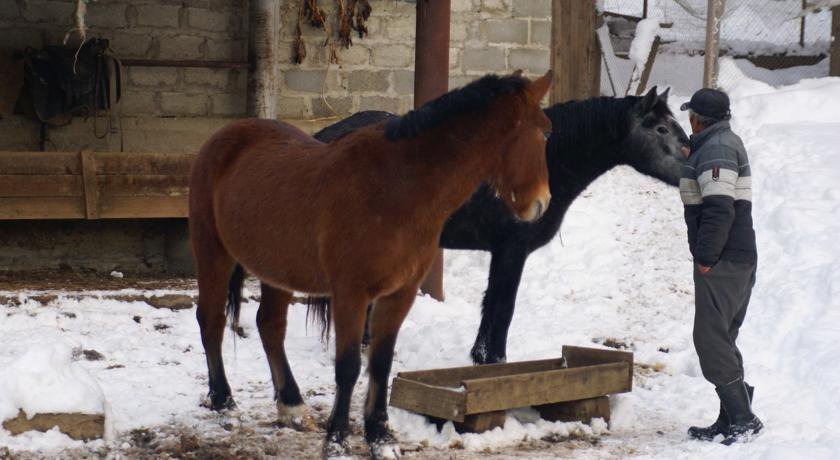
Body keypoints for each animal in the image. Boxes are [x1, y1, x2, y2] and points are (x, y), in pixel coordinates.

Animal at [189, 72, 556, 456]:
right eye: (545, 132)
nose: (542, 203)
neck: (396, 188)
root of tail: (223, 137)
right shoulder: (351, 292)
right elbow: (348, 365)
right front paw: (336, 439)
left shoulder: (401, 293)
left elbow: (380, 362)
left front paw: (380, 436)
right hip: (212, 251)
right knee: (212, 320)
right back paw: (223, 400)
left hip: (278, 269)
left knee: (270, 326)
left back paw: (291, 405)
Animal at [306, 88, 684, 364]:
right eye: (661, 129)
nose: (690, 169)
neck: (544, 162)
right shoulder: (512, 250)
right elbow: (503, 306)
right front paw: (494, 359)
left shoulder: (502, 252)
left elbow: (492, 304)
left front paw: (481, 356)